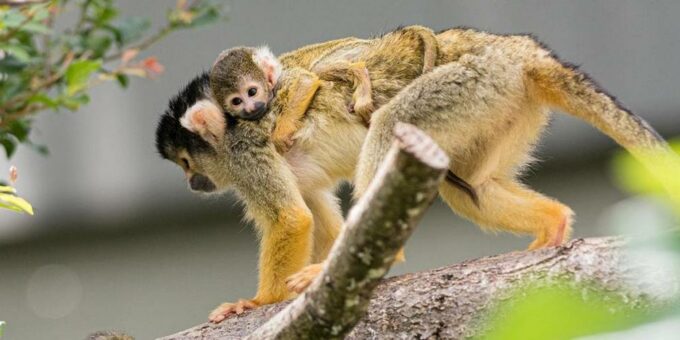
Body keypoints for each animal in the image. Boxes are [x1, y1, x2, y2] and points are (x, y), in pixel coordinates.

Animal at [210, 24, 438, 151]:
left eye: (252, 92)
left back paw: (359, 74)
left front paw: (280, 135)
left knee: (319, 68)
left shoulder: (284, 82)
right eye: (237, 101)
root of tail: (370, 41)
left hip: (352, 49)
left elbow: (304, 81)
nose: (250, 108)